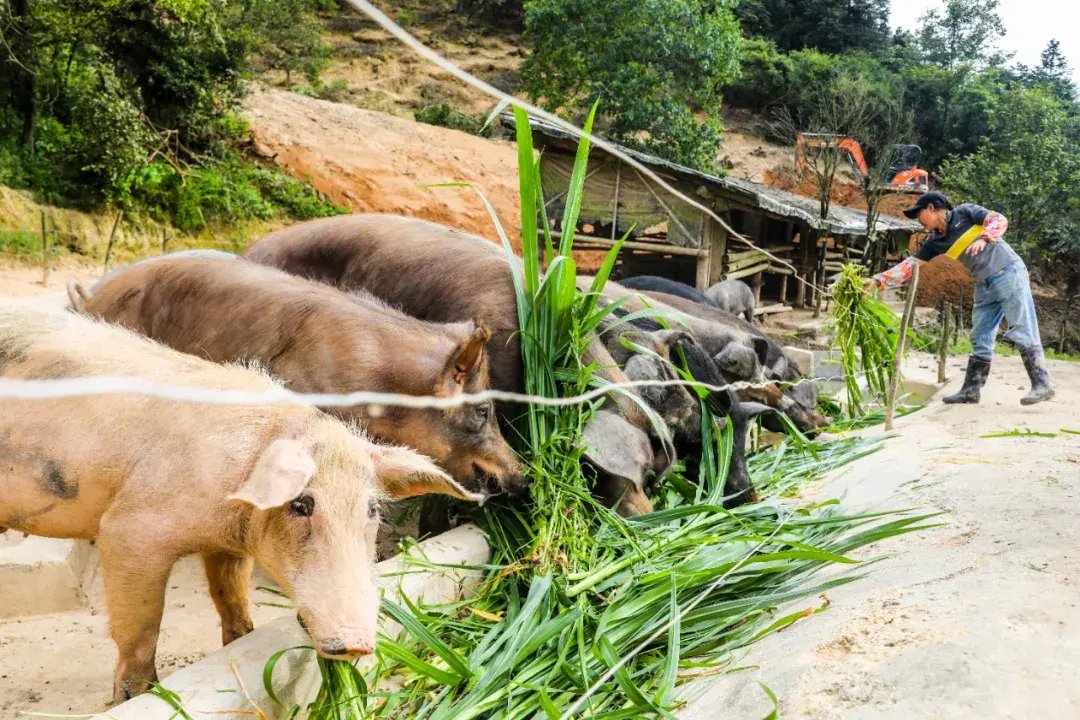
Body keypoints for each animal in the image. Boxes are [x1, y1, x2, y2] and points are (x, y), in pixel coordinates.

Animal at [0, 297, 481, 703]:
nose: (358, 643)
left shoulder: (228, 545)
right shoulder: (128, 531)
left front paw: (241, 637)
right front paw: (137, 696)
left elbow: (230, 592)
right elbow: (142, 626)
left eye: (372, 509)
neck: (231, 509)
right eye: (301, 504)